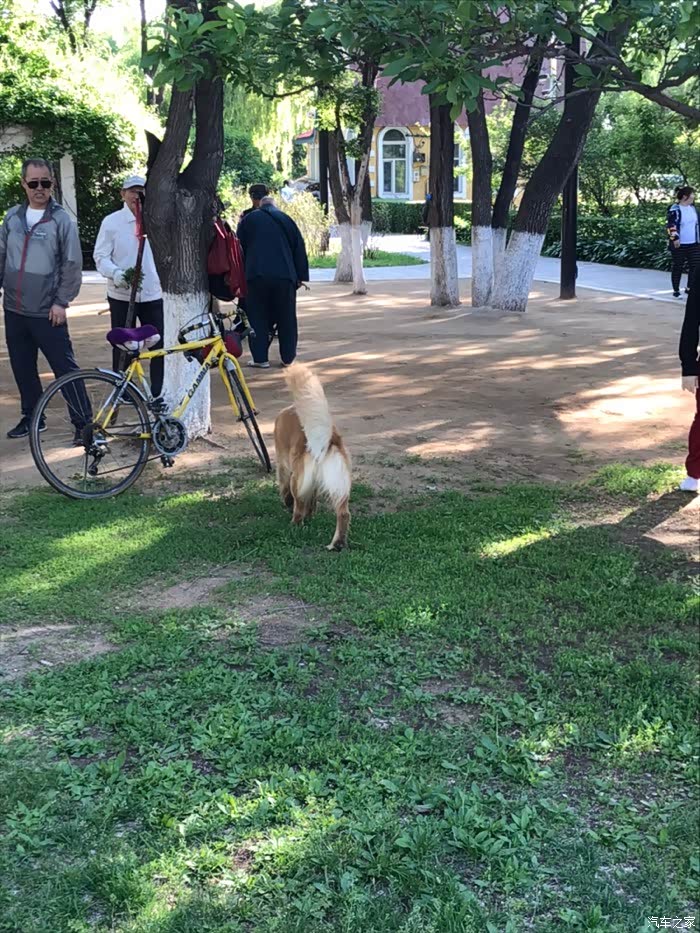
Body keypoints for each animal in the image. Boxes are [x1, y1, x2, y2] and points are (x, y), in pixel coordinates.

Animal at [274, 363, 351, 551]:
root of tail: (326, 440)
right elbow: (313, 499)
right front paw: (312, 515)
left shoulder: (283, 465)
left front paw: (287, 502)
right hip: (339, 484)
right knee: (343, 513)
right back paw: (337, 544)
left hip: (296, 481)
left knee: (299, 506)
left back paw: (294, 525)